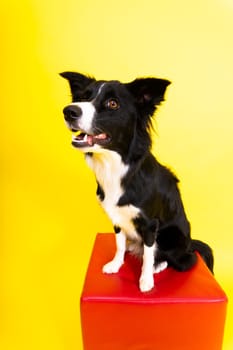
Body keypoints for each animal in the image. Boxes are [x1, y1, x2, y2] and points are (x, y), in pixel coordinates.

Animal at [60, 72, 213, 292]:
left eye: (112, 103)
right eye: (83, 97)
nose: (69, 111)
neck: (116, 165)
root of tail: (189, 243)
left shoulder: (150, 223)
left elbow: (149, 253)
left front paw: (146, 280)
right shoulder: (116, 217)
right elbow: (119, 243)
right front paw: (116, 264)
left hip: (172, 238)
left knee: (185, 259)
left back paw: (160, 265)